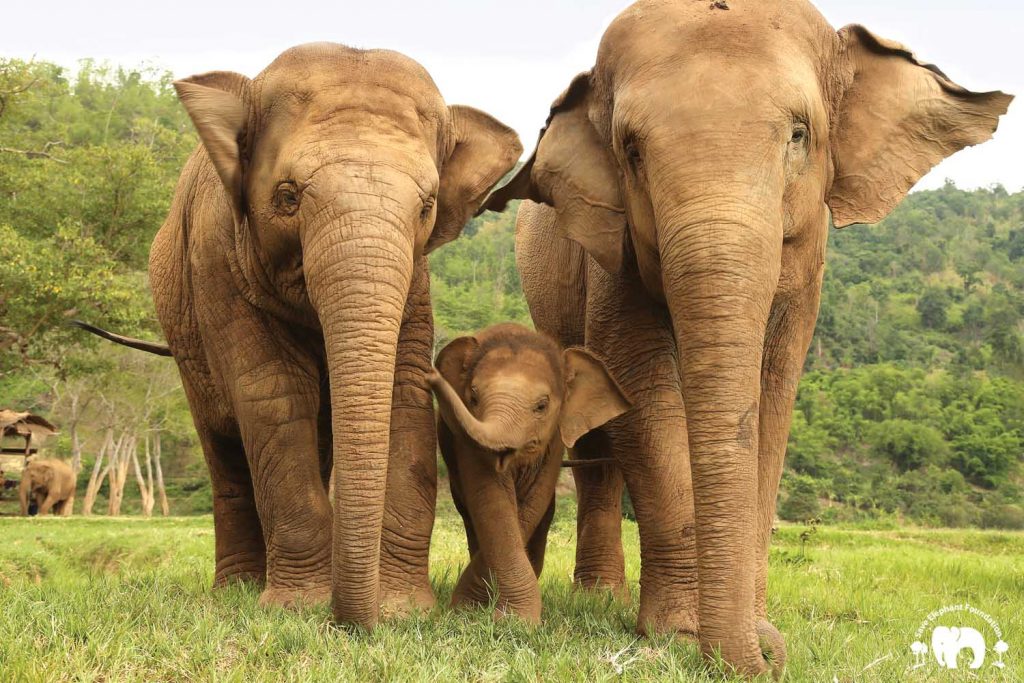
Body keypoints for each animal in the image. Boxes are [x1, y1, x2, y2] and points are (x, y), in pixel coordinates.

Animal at [136, 42, 520, 626]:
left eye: (427, 207)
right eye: (287, 197)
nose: (353, 622)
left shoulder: (415, 283)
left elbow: (404, 394)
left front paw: (404, 612)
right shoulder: (215, 262)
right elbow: (273, 393)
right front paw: (296, 609)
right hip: (185, 339)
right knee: (224, 447)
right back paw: (236, 591)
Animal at [425, 325, 630, 626]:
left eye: (542, 406)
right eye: (473, 398)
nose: (429, 374)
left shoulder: (554, 439)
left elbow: (535, 499)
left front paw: (501, 616)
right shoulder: (464, 438)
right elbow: (490, 498)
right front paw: (478, 610)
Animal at [483, 0, 1011, 675]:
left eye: (799, 134)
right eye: (631, 151)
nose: (768, 656)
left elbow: (773, 394)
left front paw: (753, 632)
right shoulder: (610, 251)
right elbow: (639, 388)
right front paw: (682, 636)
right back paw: (600, 597)